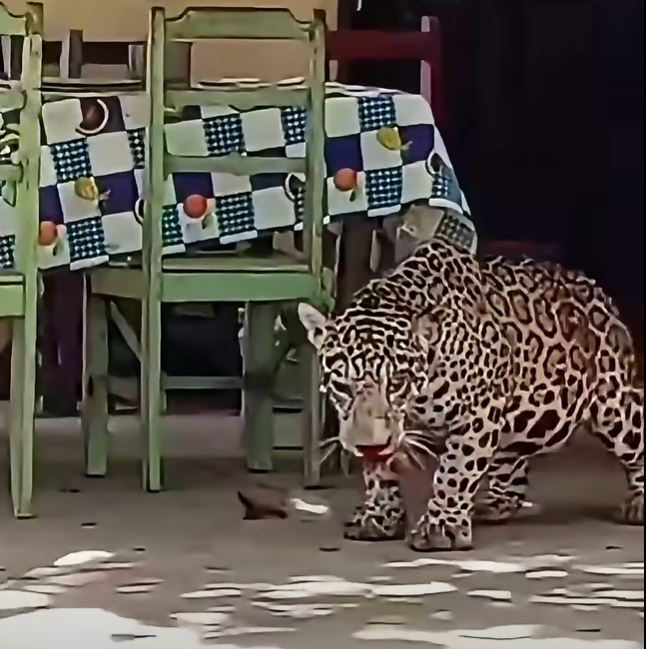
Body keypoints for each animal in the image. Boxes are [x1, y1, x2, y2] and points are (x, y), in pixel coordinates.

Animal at [298, 238, 644, 552]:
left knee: (636, 443)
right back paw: (495, 503)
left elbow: (456, 469)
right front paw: (380, 518)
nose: (370, 446)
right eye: (342, 386)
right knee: (513, 461)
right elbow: (378, 472)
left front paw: (441, 529)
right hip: (522, 421)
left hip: (616, 408)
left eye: (396, 382)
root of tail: (595, 289)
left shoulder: (479, 412)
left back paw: (639, 504)